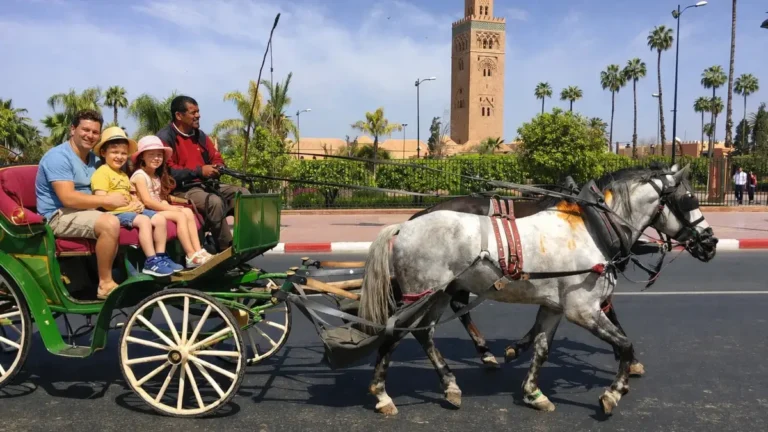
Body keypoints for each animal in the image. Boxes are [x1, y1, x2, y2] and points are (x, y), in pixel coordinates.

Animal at [357, 164, 717, 415]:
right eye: (688, 199)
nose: (710, 243)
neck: (595, 227)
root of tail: (404, 225)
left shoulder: (554, 306)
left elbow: (543, 348)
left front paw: (533, 391)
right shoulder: (582, 308)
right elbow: (624, 343)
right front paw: (614, 391)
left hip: (438, 294)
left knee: (424, 333)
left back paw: (451, 385)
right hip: (422, 295)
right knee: (396, 333)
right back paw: (383, 395)